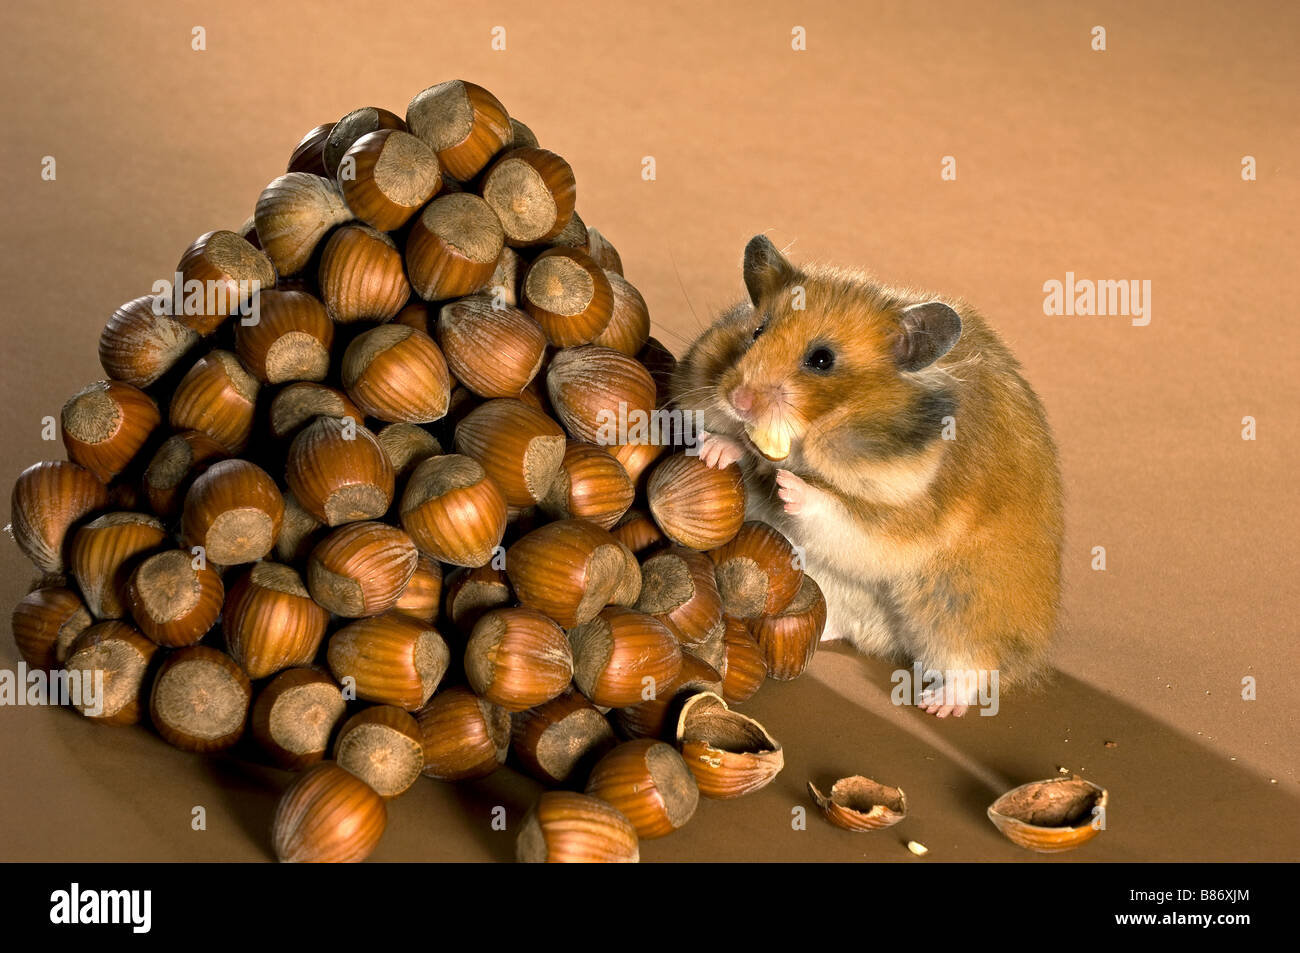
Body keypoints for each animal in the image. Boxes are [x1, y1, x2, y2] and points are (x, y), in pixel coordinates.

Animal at [676, 236, 1060, 712]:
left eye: (822, 360)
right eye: (757, 331)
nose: (739, 399)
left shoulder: (903, 518)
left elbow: (836, 507)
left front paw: (790, 486)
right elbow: (748, 459)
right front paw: (716, 450)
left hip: (961, 610)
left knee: (976, 666)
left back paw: (936, 703)